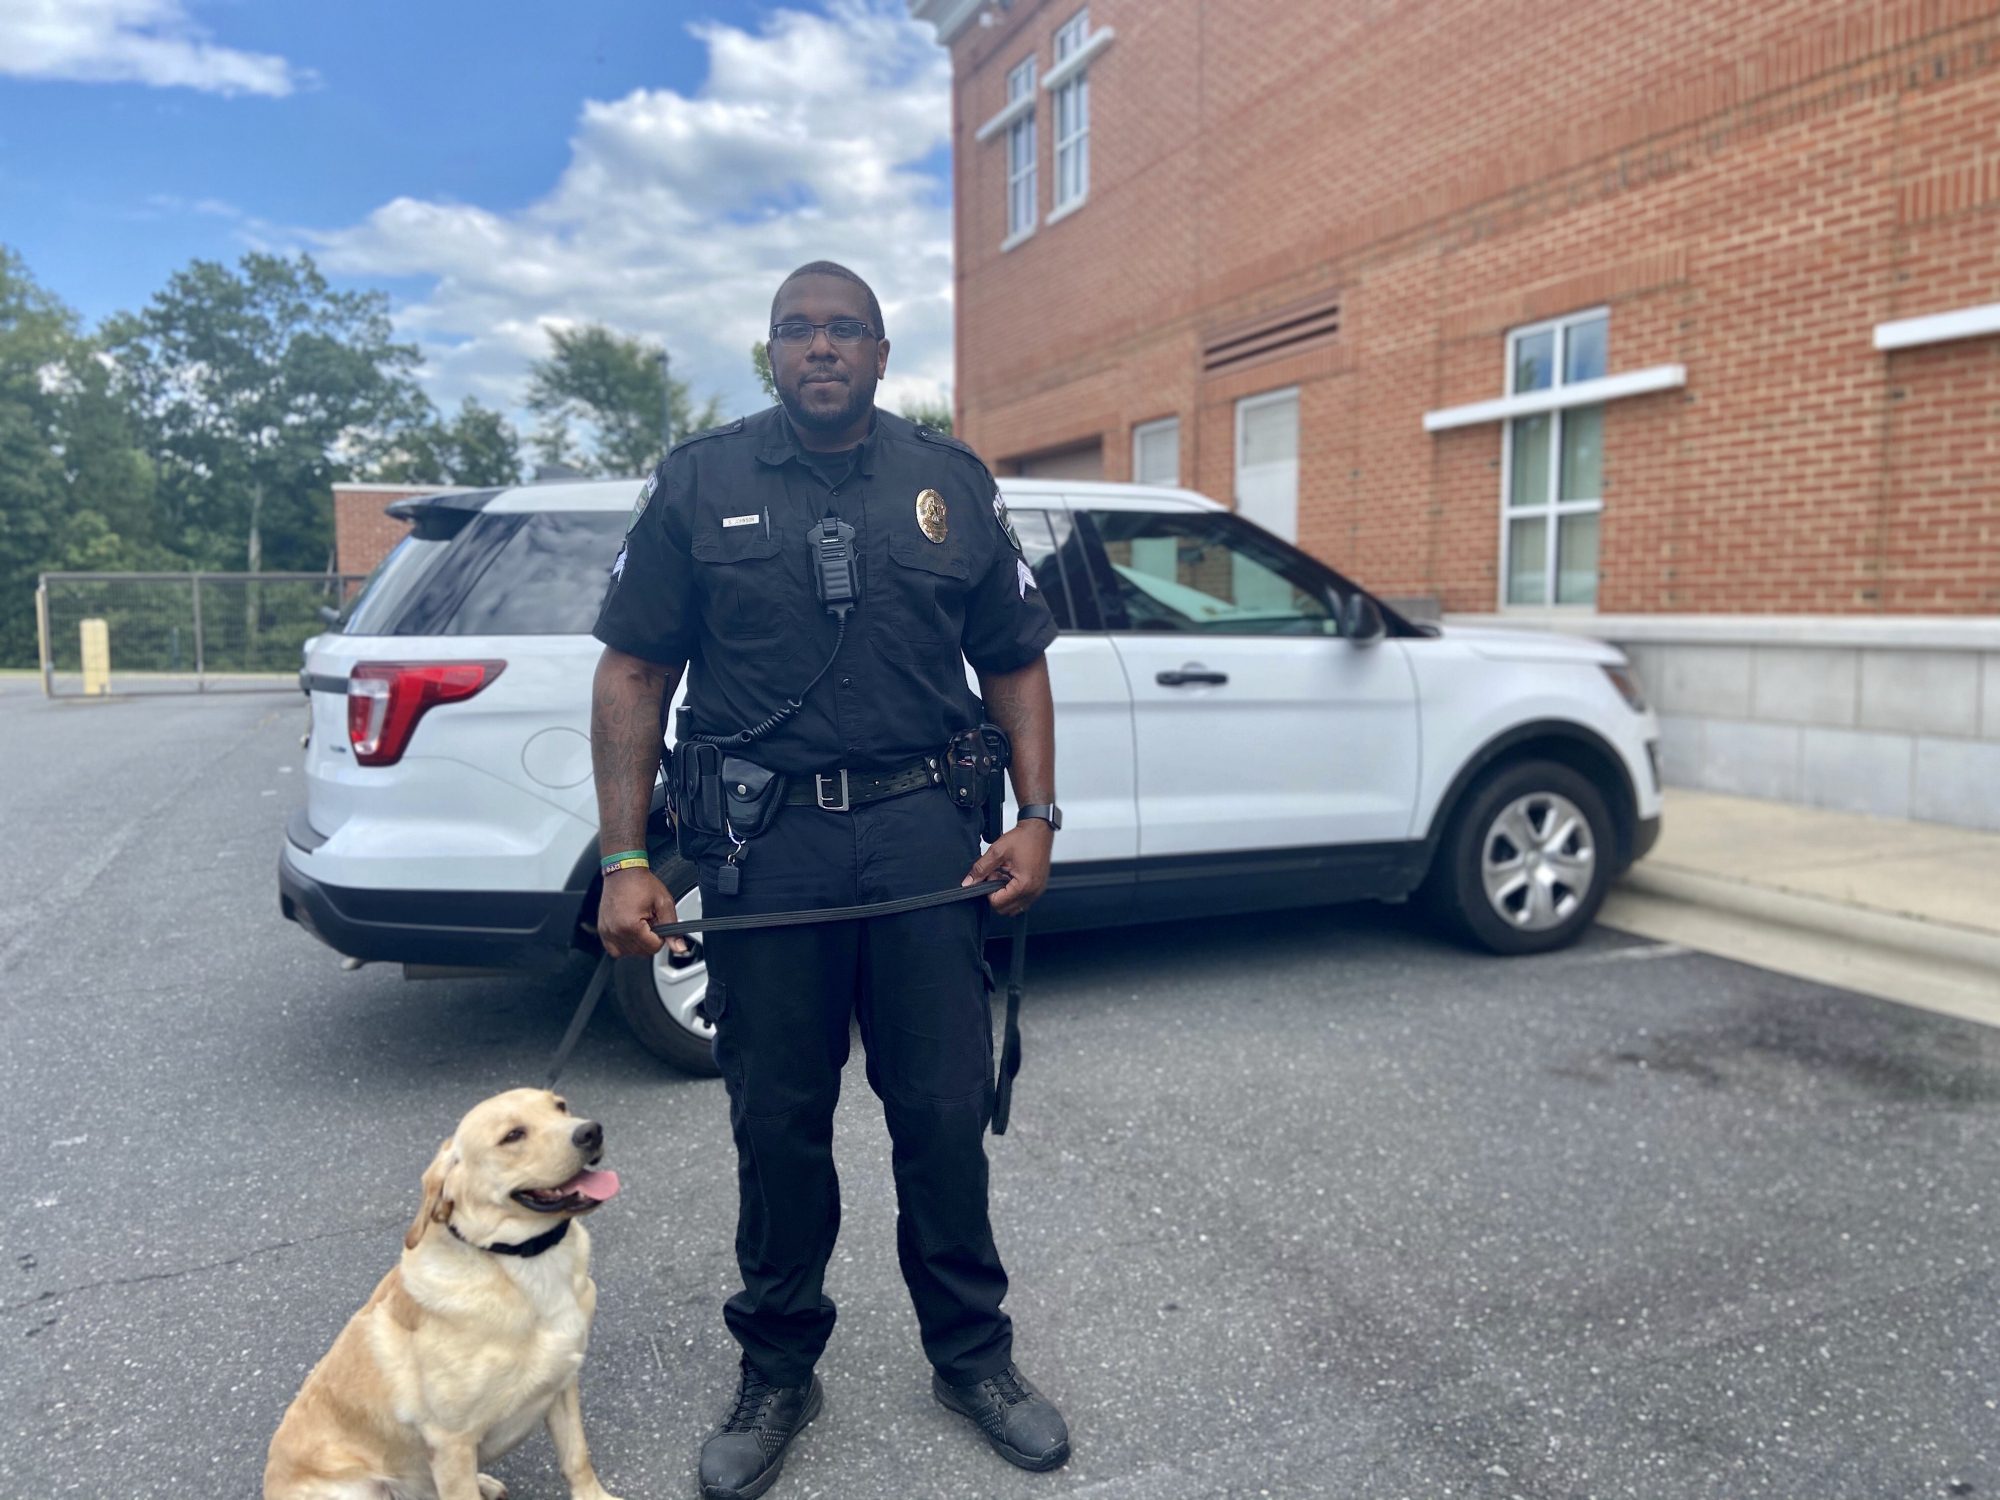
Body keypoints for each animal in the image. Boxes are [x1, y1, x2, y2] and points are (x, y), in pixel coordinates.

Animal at [266, 1096, 624, 1500]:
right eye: (512, 1136)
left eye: (560, 1106)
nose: (591, 1131)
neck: (522, 1262)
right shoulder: (450, 1441)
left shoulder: (563, 1385)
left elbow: (576, 1458)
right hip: (359, 1488)